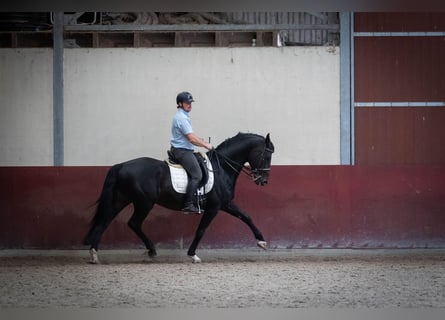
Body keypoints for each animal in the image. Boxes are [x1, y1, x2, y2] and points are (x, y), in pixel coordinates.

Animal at [81, 132, 272, 262]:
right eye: (267, 155)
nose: (263, 180)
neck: (222, 168)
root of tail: (121, 165)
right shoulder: (214, 207)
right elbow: (201, 230)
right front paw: (193, 254)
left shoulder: (225, 204)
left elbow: (246, 216)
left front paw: (261, 241)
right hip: (144, 202)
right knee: (133, 223)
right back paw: (151, 250)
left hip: (121, 199)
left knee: (105, 220)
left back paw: (94, 254)